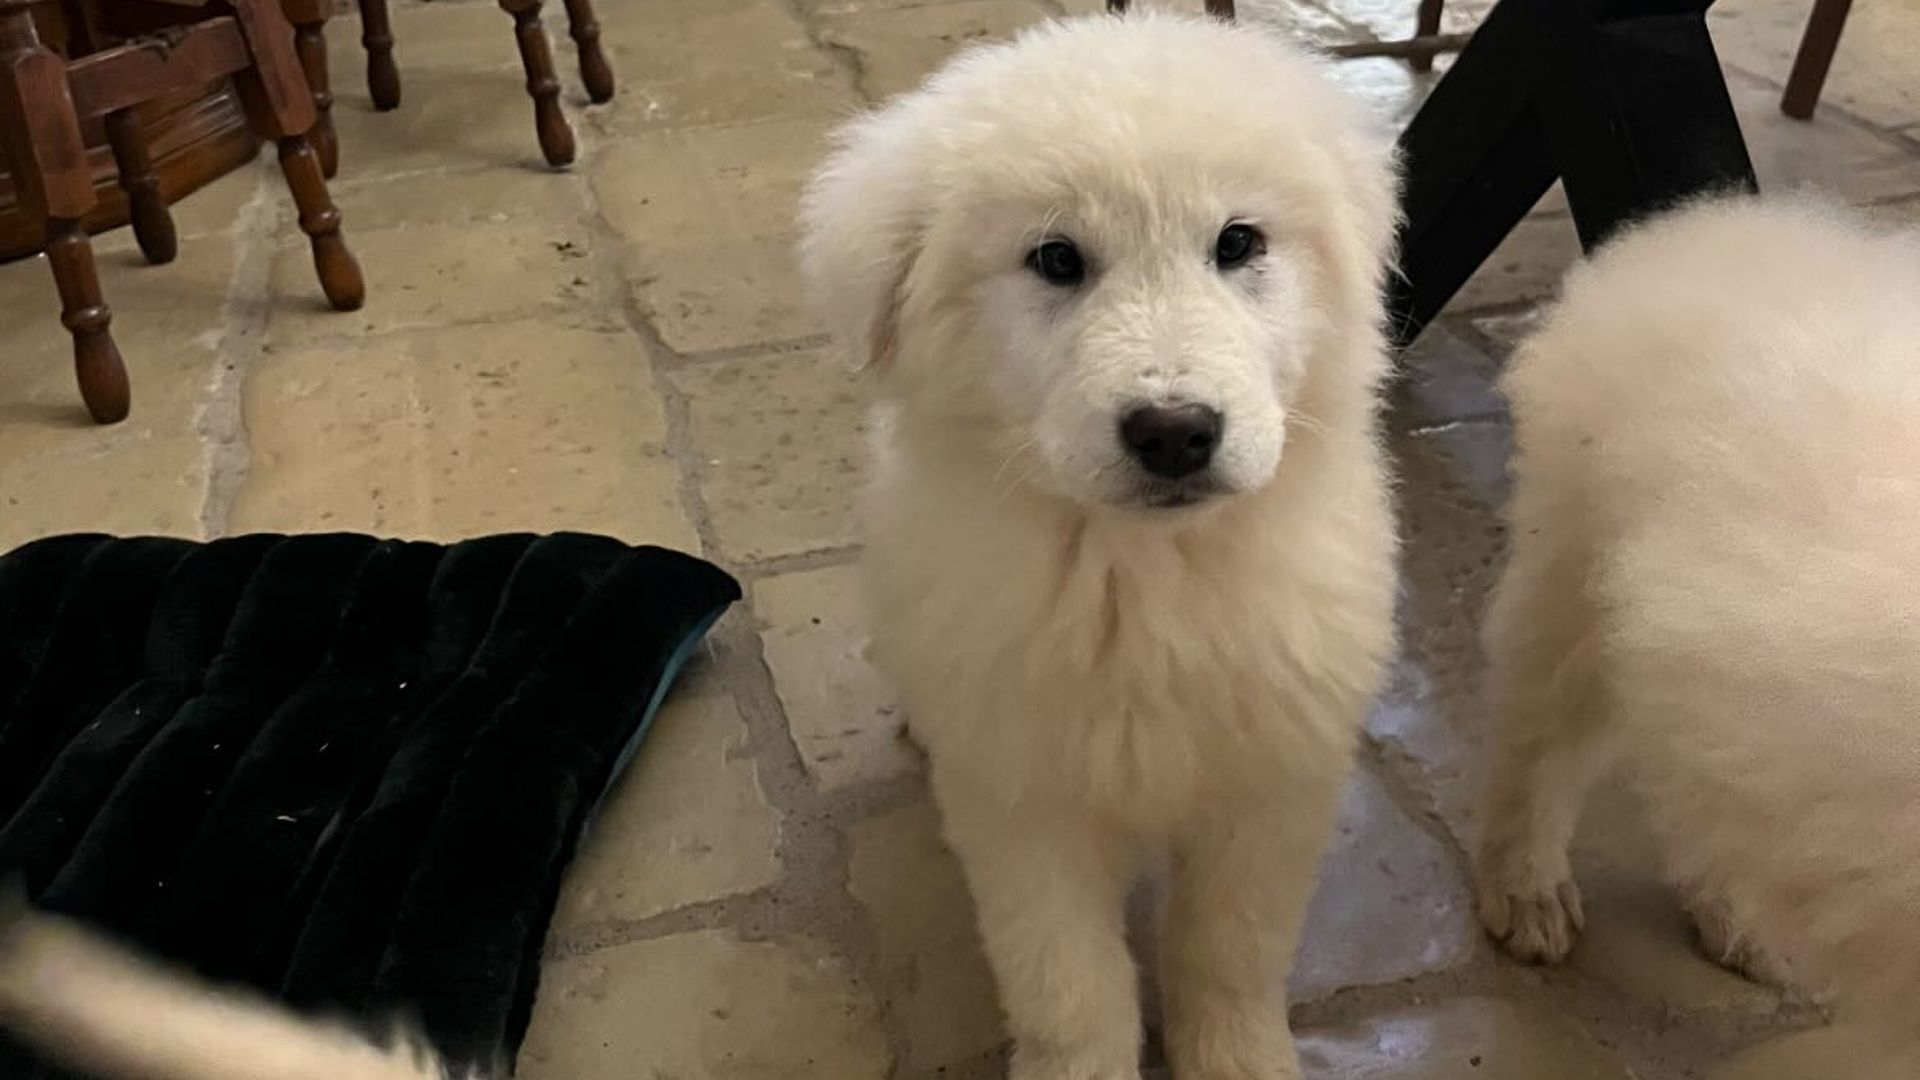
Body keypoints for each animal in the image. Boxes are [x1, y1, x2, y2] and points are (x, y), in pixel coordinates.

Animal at [800, 13, 1400, 1079]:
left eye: (1238, 243)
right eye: (1057, 260)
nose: (1174, 432)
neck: (1141, 573)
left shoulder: (1268, 790)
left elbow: (1231, 951)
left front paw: (1238, 1058)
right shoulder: (1026, 802)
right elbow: (1066, 983)